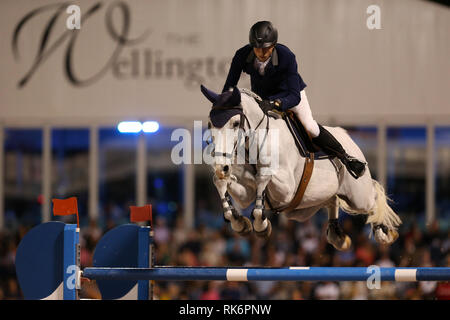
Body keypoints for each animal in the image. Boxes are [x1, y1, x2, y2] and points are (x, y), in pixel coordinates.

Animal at [200, 85, 400, 250]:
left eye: (235, 123)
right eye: (210, 124)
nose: (222, 166)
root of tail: (347, 137)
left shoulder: (286, 190)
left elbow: (263, 179)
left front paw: (261, 225)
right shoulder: (246, 194)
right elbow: (225, 184)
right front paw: (239, 221)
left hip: (358, 197)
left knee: (373, 195)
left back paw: (383, 232)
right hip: (302, 210)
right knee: (332, 200)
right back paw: (337, 235)